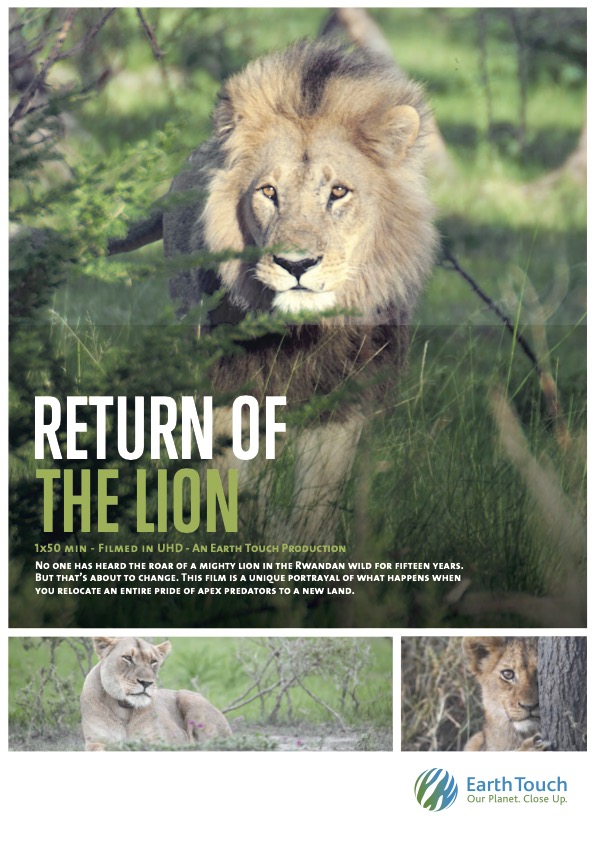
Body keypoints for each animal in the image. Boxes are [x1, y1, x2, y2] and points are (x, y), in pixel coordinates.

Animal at [80, 637, 232, 751]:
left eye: (153, 661)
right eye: (128, 658)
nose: (146, 683)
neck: (123, 710)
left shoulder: (158, 740)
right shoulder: (95, 741)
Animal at [109, 40, 437, 545]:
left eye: (338, 192)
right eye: (268, 192)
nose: (296, 265)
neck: (302, 334)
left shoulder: (340, 403)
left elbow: (316, 502)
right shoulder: (227, 386)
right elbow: (234, 484)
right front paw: (247, 538)